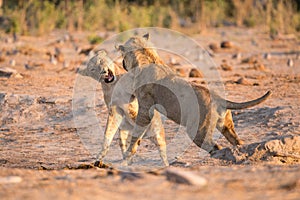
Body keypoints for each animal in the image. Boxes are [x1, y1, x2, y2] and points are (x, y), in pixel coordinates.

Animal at [116, 33, 270, 164]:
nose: (122, 64)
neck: (146, 55)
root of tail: (220, 99)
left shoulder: (145, 107)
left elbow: (137, 132)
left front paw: (128, 154)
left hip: (198, 131)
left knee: (215, 147)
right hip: (226, 126)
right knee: (238, 142)